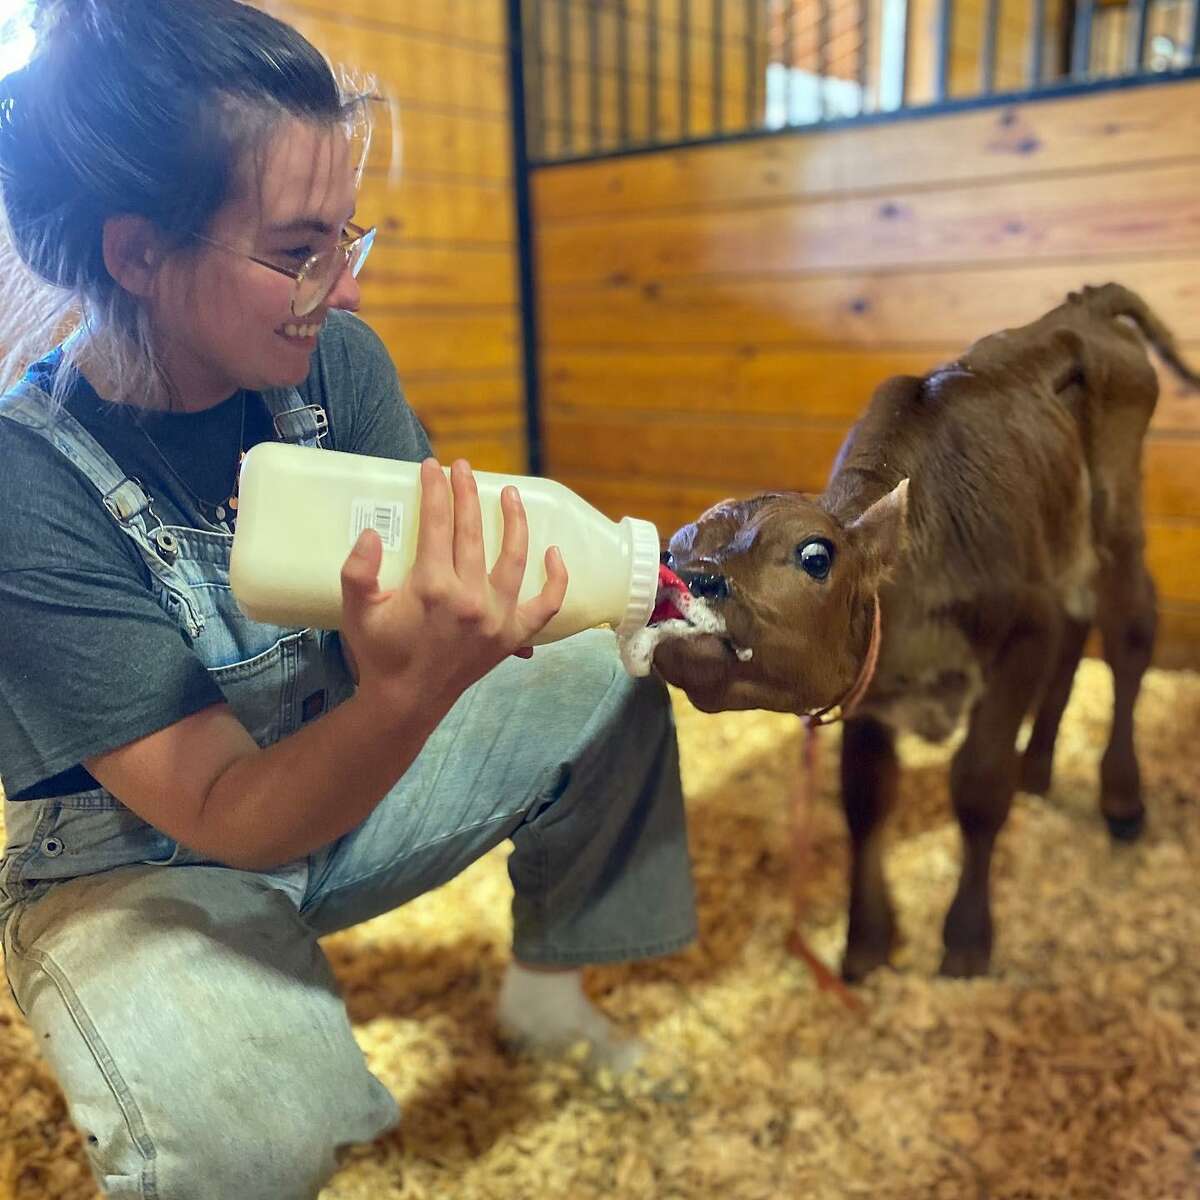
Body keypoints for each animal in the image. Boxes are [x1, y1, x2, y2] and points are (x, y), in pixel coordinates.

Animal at [657, 283, 1200, 984]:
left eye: (815, 555)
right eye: (669, 551)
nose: (694, 579)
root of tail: (1078, 306)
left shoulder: (1024, 632)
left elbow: (978, 785)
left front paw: (966, 942)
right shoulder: (869, 686)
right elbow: (864, 800)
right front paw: (865, 943)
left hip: (1118, 515)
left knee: (1130, 631)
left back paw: (1122, 801)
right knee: (1079, 625)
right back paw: (1039, 766)